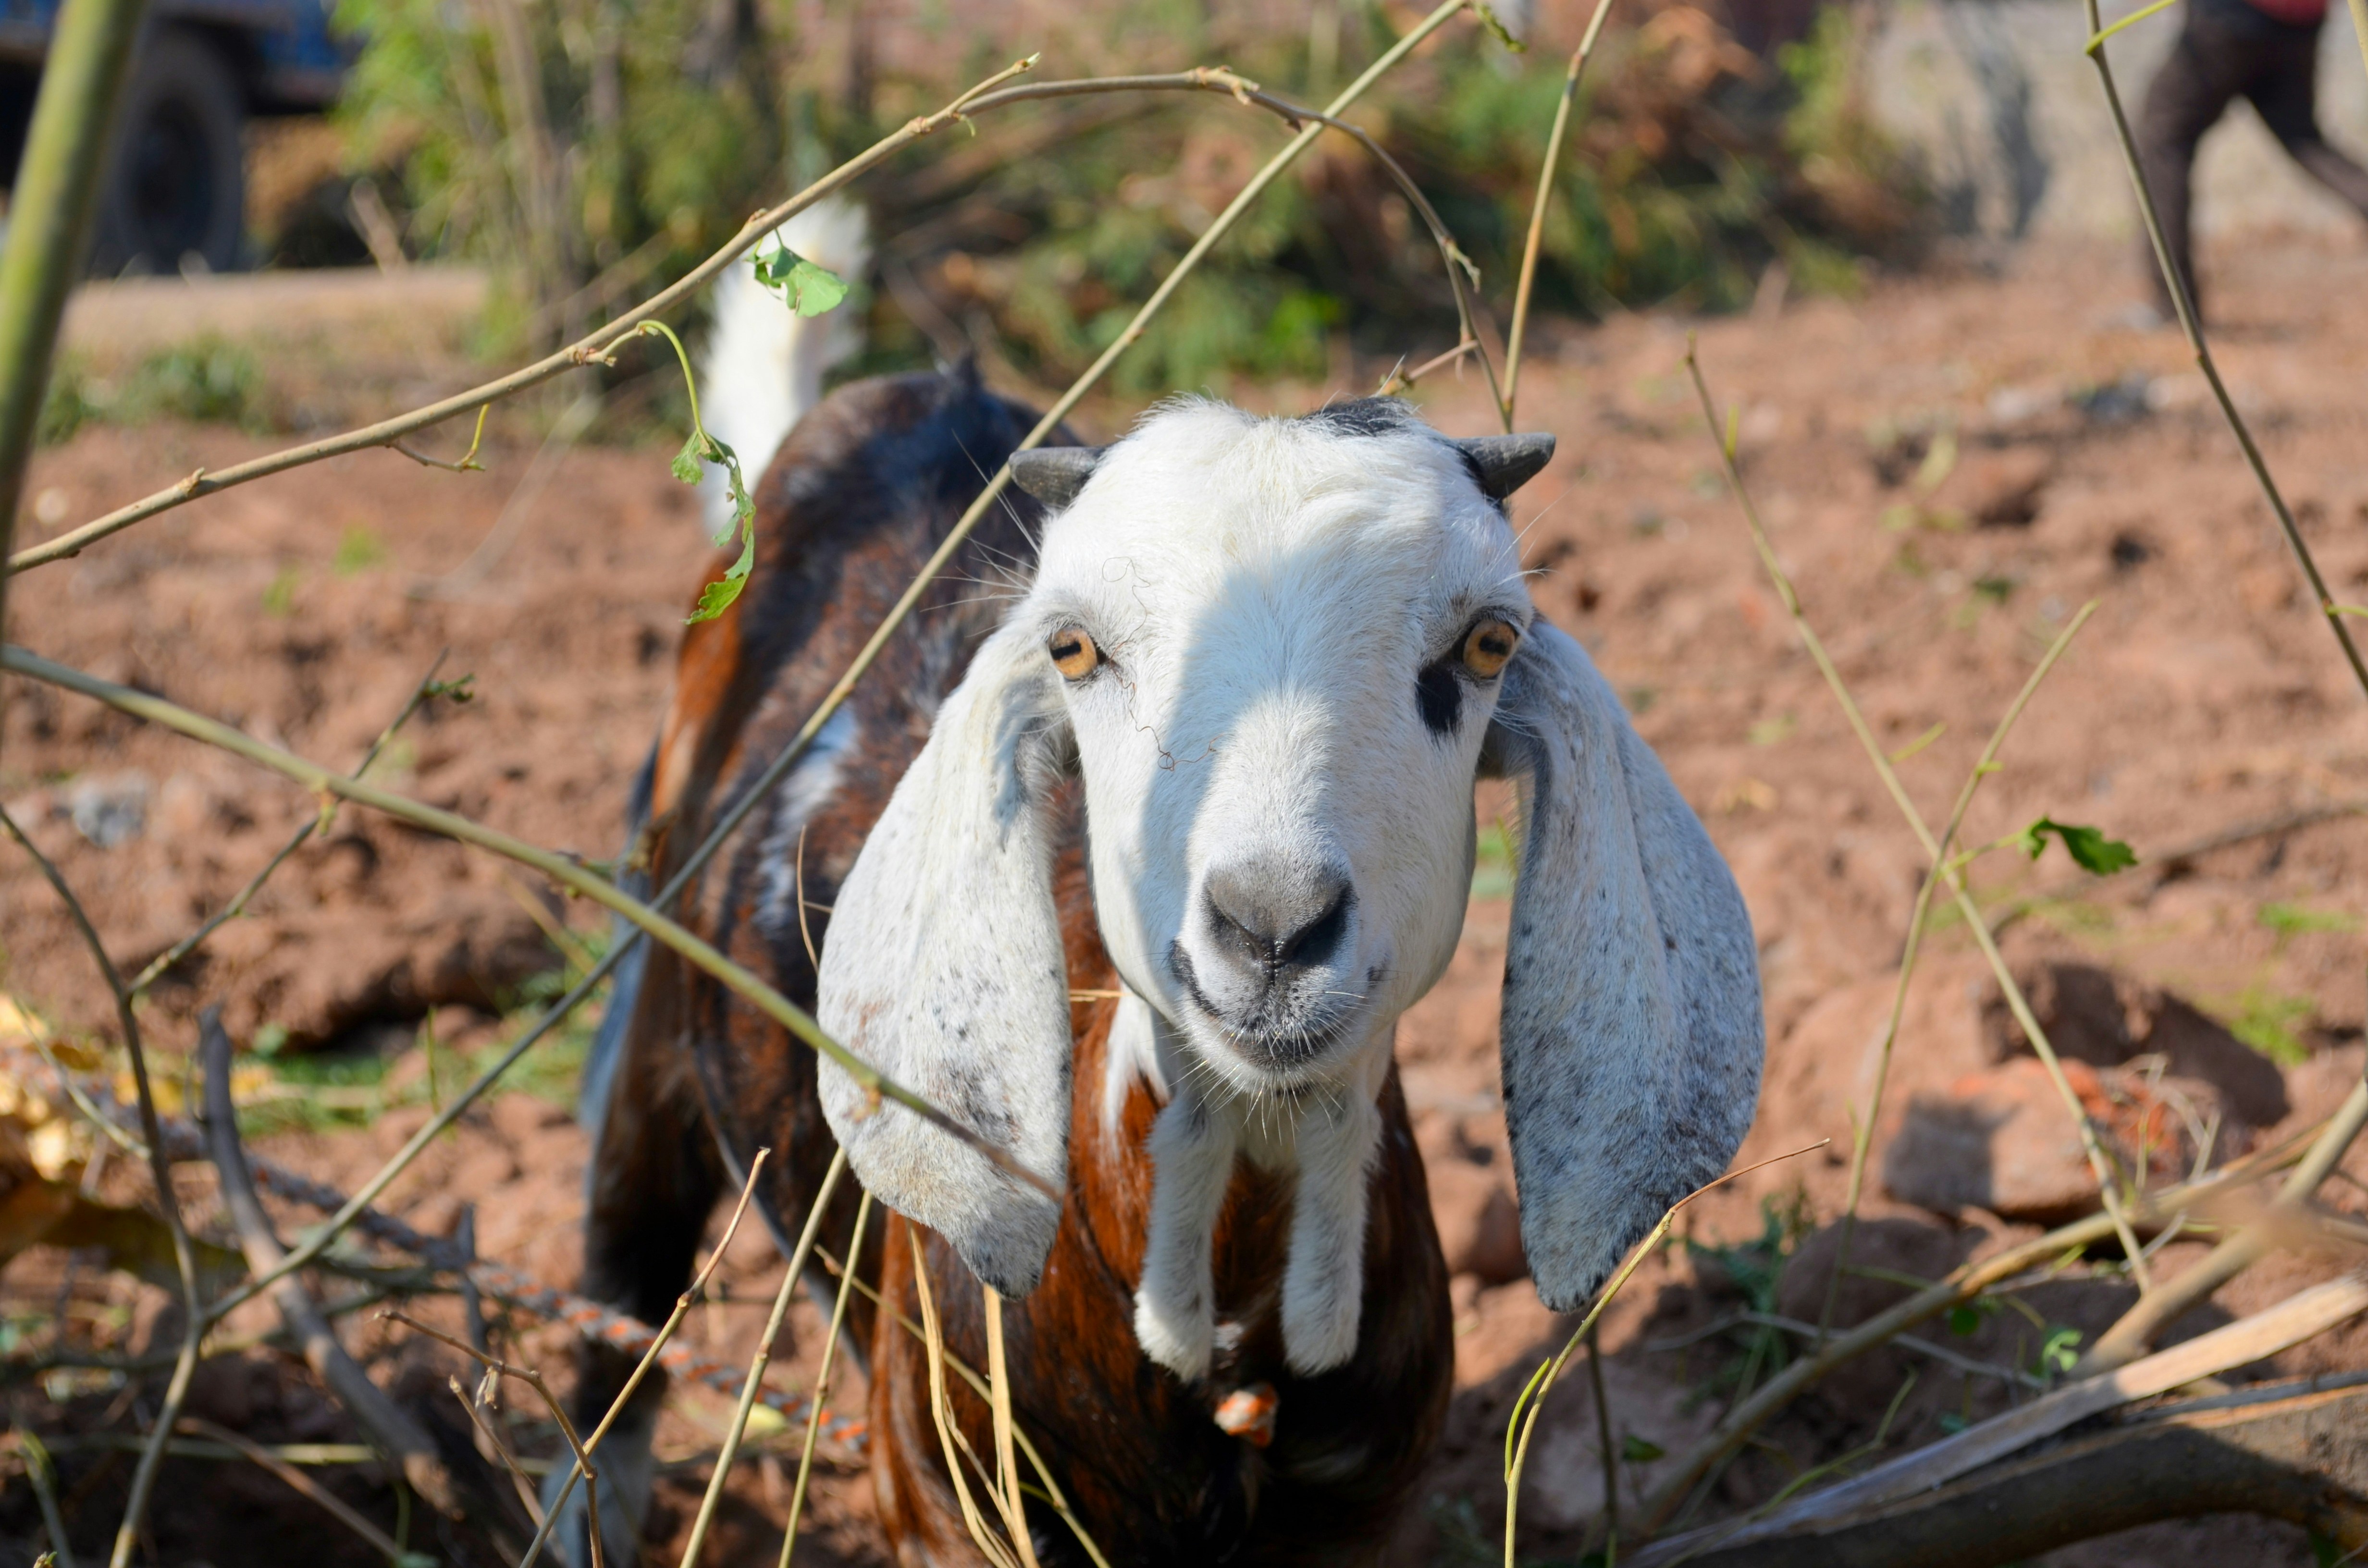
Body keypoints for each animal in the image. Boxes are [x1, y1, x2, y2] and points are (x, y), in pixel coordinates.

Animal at [548, 371, 1764, 1566]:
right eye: (1074, 648)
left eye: (1488, 644)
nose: (1272, 932)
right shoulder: (947, 1510)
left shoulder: (1362, 1524)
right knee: (626, 1263)